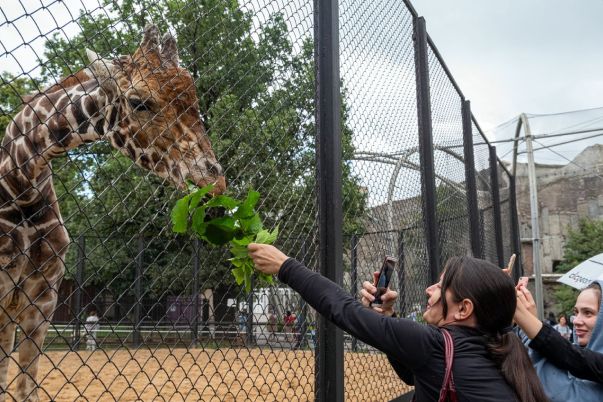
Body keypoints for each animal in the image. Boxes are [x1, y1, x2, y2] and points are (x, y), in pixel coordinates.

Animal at [0, 25, 226, 402]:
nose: (215, 179)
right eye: (138, 102)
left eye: (194, 99)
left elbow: (25, 389)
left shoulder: (43, 301)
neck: (19, 185)